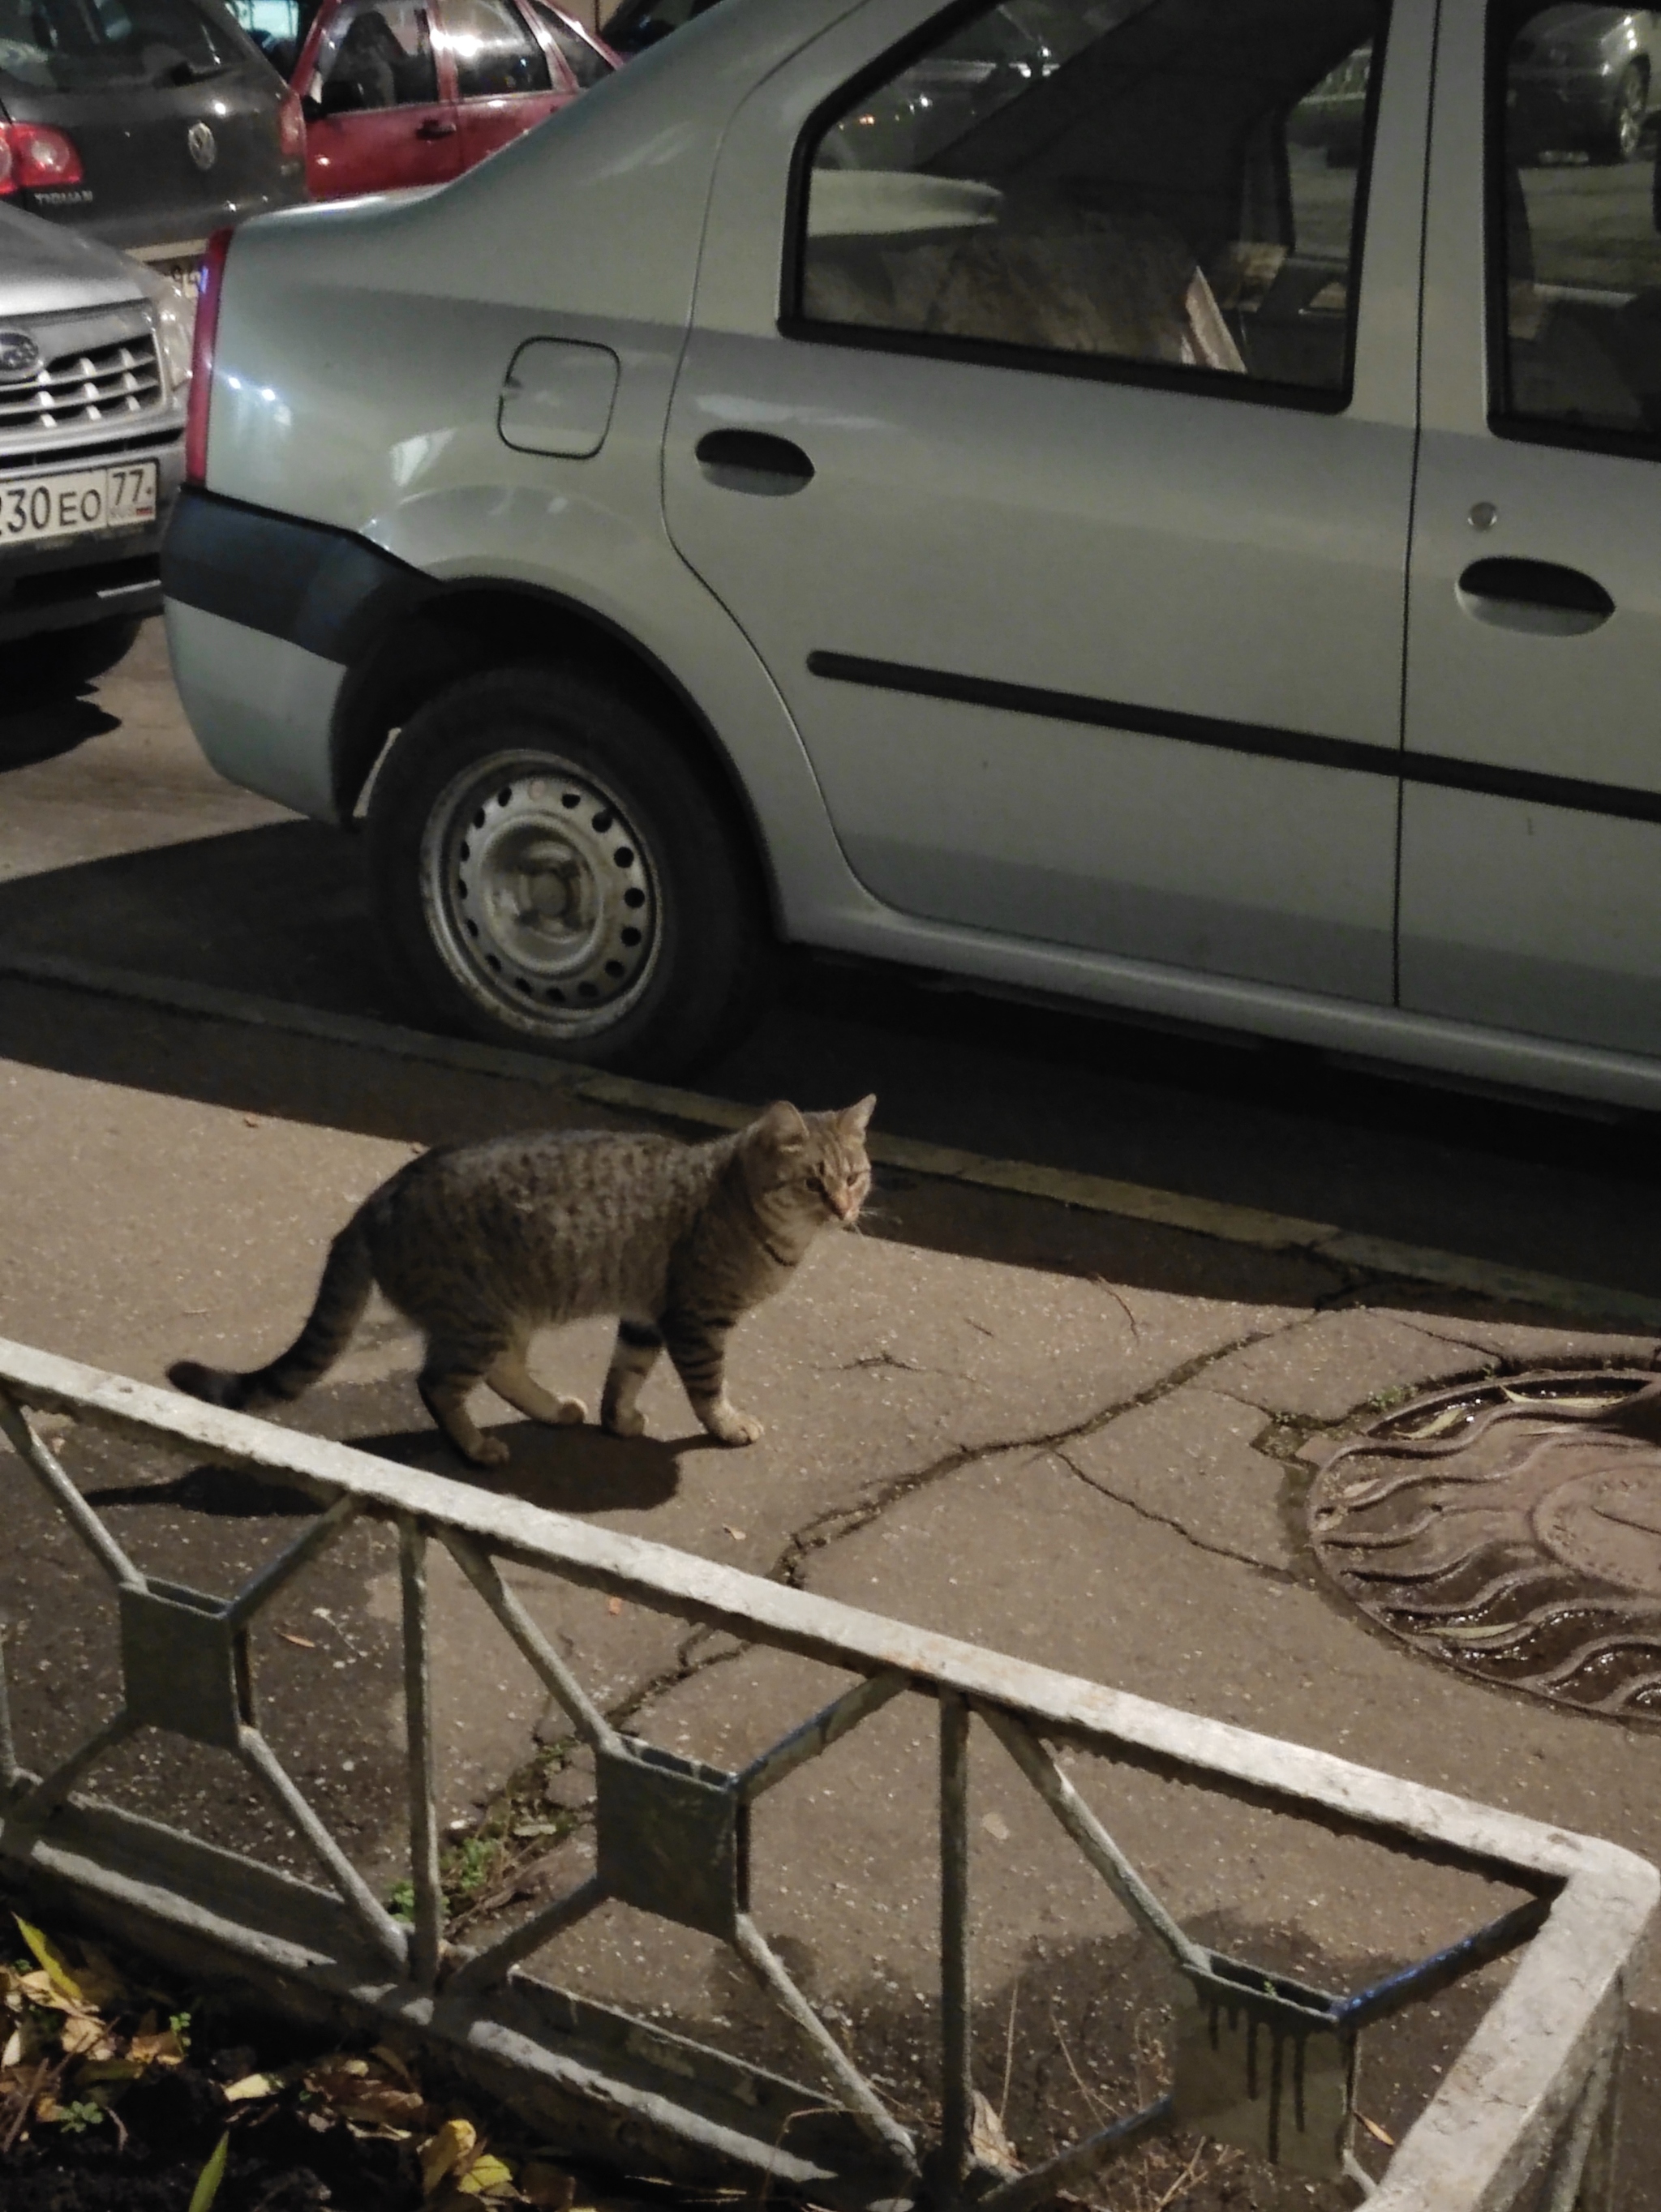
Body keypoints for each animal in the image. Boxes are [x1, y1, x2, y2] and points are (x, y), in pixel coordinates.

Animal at [170, 1092, 875, 1468]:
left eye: (855, 1176)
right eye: (813, 1183)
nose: (846, 1210)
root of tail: (376, 1199)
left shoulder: (646, 1313)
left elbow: (625, 1374)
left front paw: (619, 1419)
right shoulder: (695, 1318)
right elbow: (707, 1390)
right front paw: (727, 1425)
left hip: (510, 1313)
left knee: (503, 1372)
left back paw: (553, 1409)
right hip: (477, 1318)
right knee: (436, 1384)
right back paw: (476, 1447)